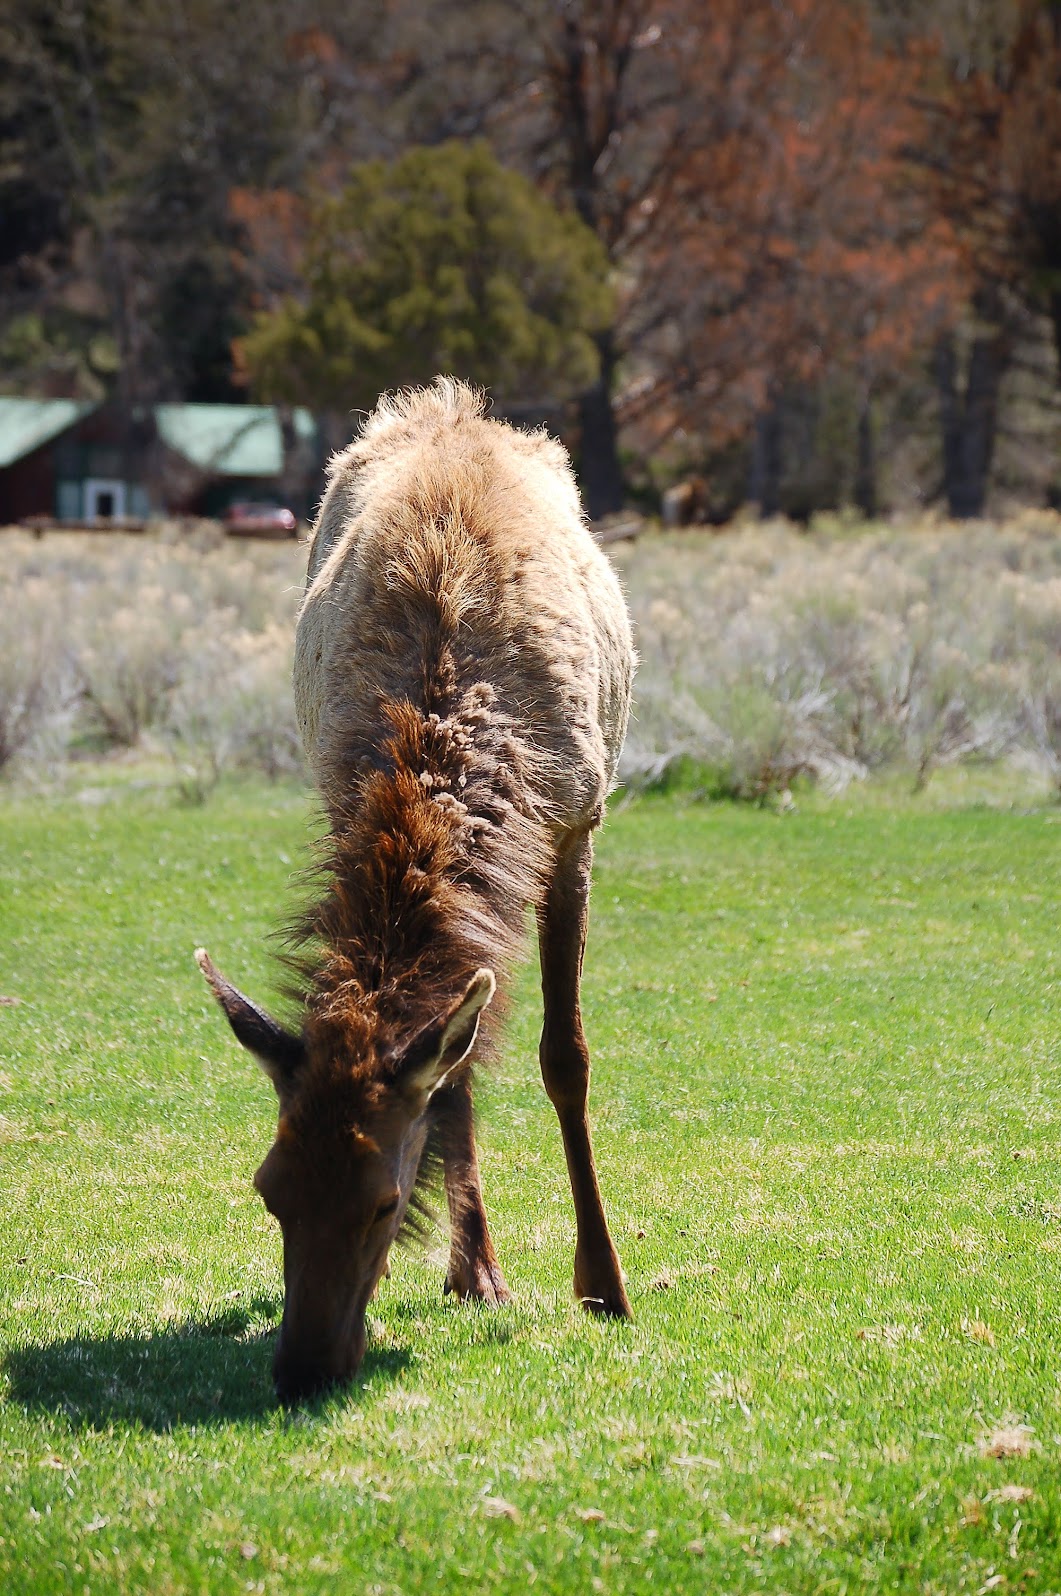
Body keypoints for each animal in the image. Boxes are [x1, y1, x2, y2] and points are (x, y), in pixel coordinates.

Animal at [195, 379, 631, 1404]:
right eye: (268, 1191)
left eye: (385, 1202)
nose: (302, 1369)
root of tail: (447, 400)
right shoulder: (335, 797)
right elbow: (458, 1067)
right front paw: (479, 1272)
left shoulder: (575, 823)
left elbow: (565, 1056)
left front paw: (603, 1283)